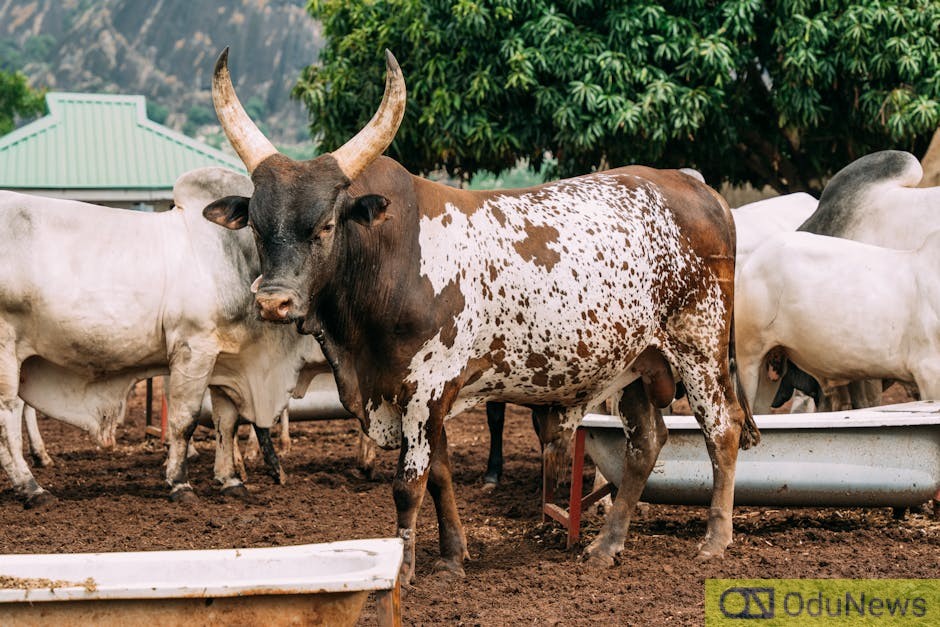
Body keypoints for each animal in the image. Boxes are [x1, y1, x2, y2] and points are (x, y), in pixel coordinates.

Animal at [0, 167, 325, 507]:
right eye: (260, 226)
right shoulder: (193, 349)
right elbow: (185, 419)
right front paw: (180, 483)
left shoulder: (229, 360)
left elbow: (227, 421)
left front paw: (231, 481)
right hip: (6, 349)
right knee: (7, 415)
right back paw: (32, 488)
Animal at [204, 49, 756, 581]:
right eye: (256, 227)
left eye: (325, 225)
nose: (273, 301)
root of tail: (697, 188)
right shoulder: (424, 396)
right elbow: (440, 475)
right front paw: (452, 557)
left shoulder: (425, 390)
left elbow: (409, 483)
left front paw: (404, 569)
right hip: (635, 363)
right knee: (646, 442)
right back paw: (607, 546)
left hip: (699, 346)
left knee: (722, 428)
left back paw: (715, 540)